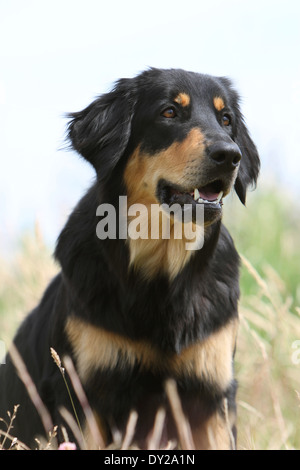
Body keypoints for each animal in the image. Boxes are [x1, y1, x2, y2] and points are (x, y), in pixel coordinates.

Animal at [0, 67, 258, 448]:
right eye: (169, 112)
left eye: (226, 120)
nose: (230, 155)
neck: (161, 274)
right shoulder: (81, 393)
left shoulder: (213, 394)